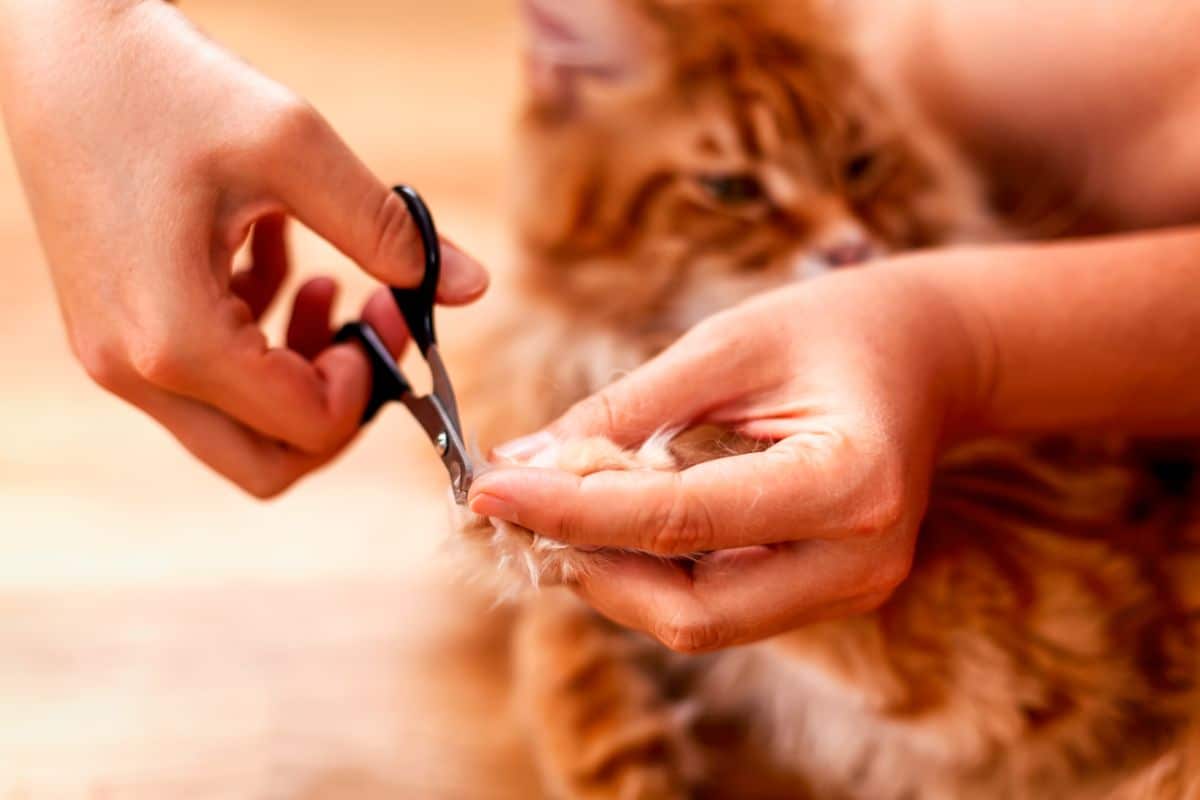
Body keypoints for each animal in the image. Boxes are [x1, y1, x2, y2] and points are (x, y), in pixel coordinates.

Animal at [451, 1, 1200, 800]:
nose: (850, 250)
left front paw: (580, 476)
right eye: (730, 189)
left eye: (859, 165)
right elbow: (562, 662)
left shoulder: (1050, 621)